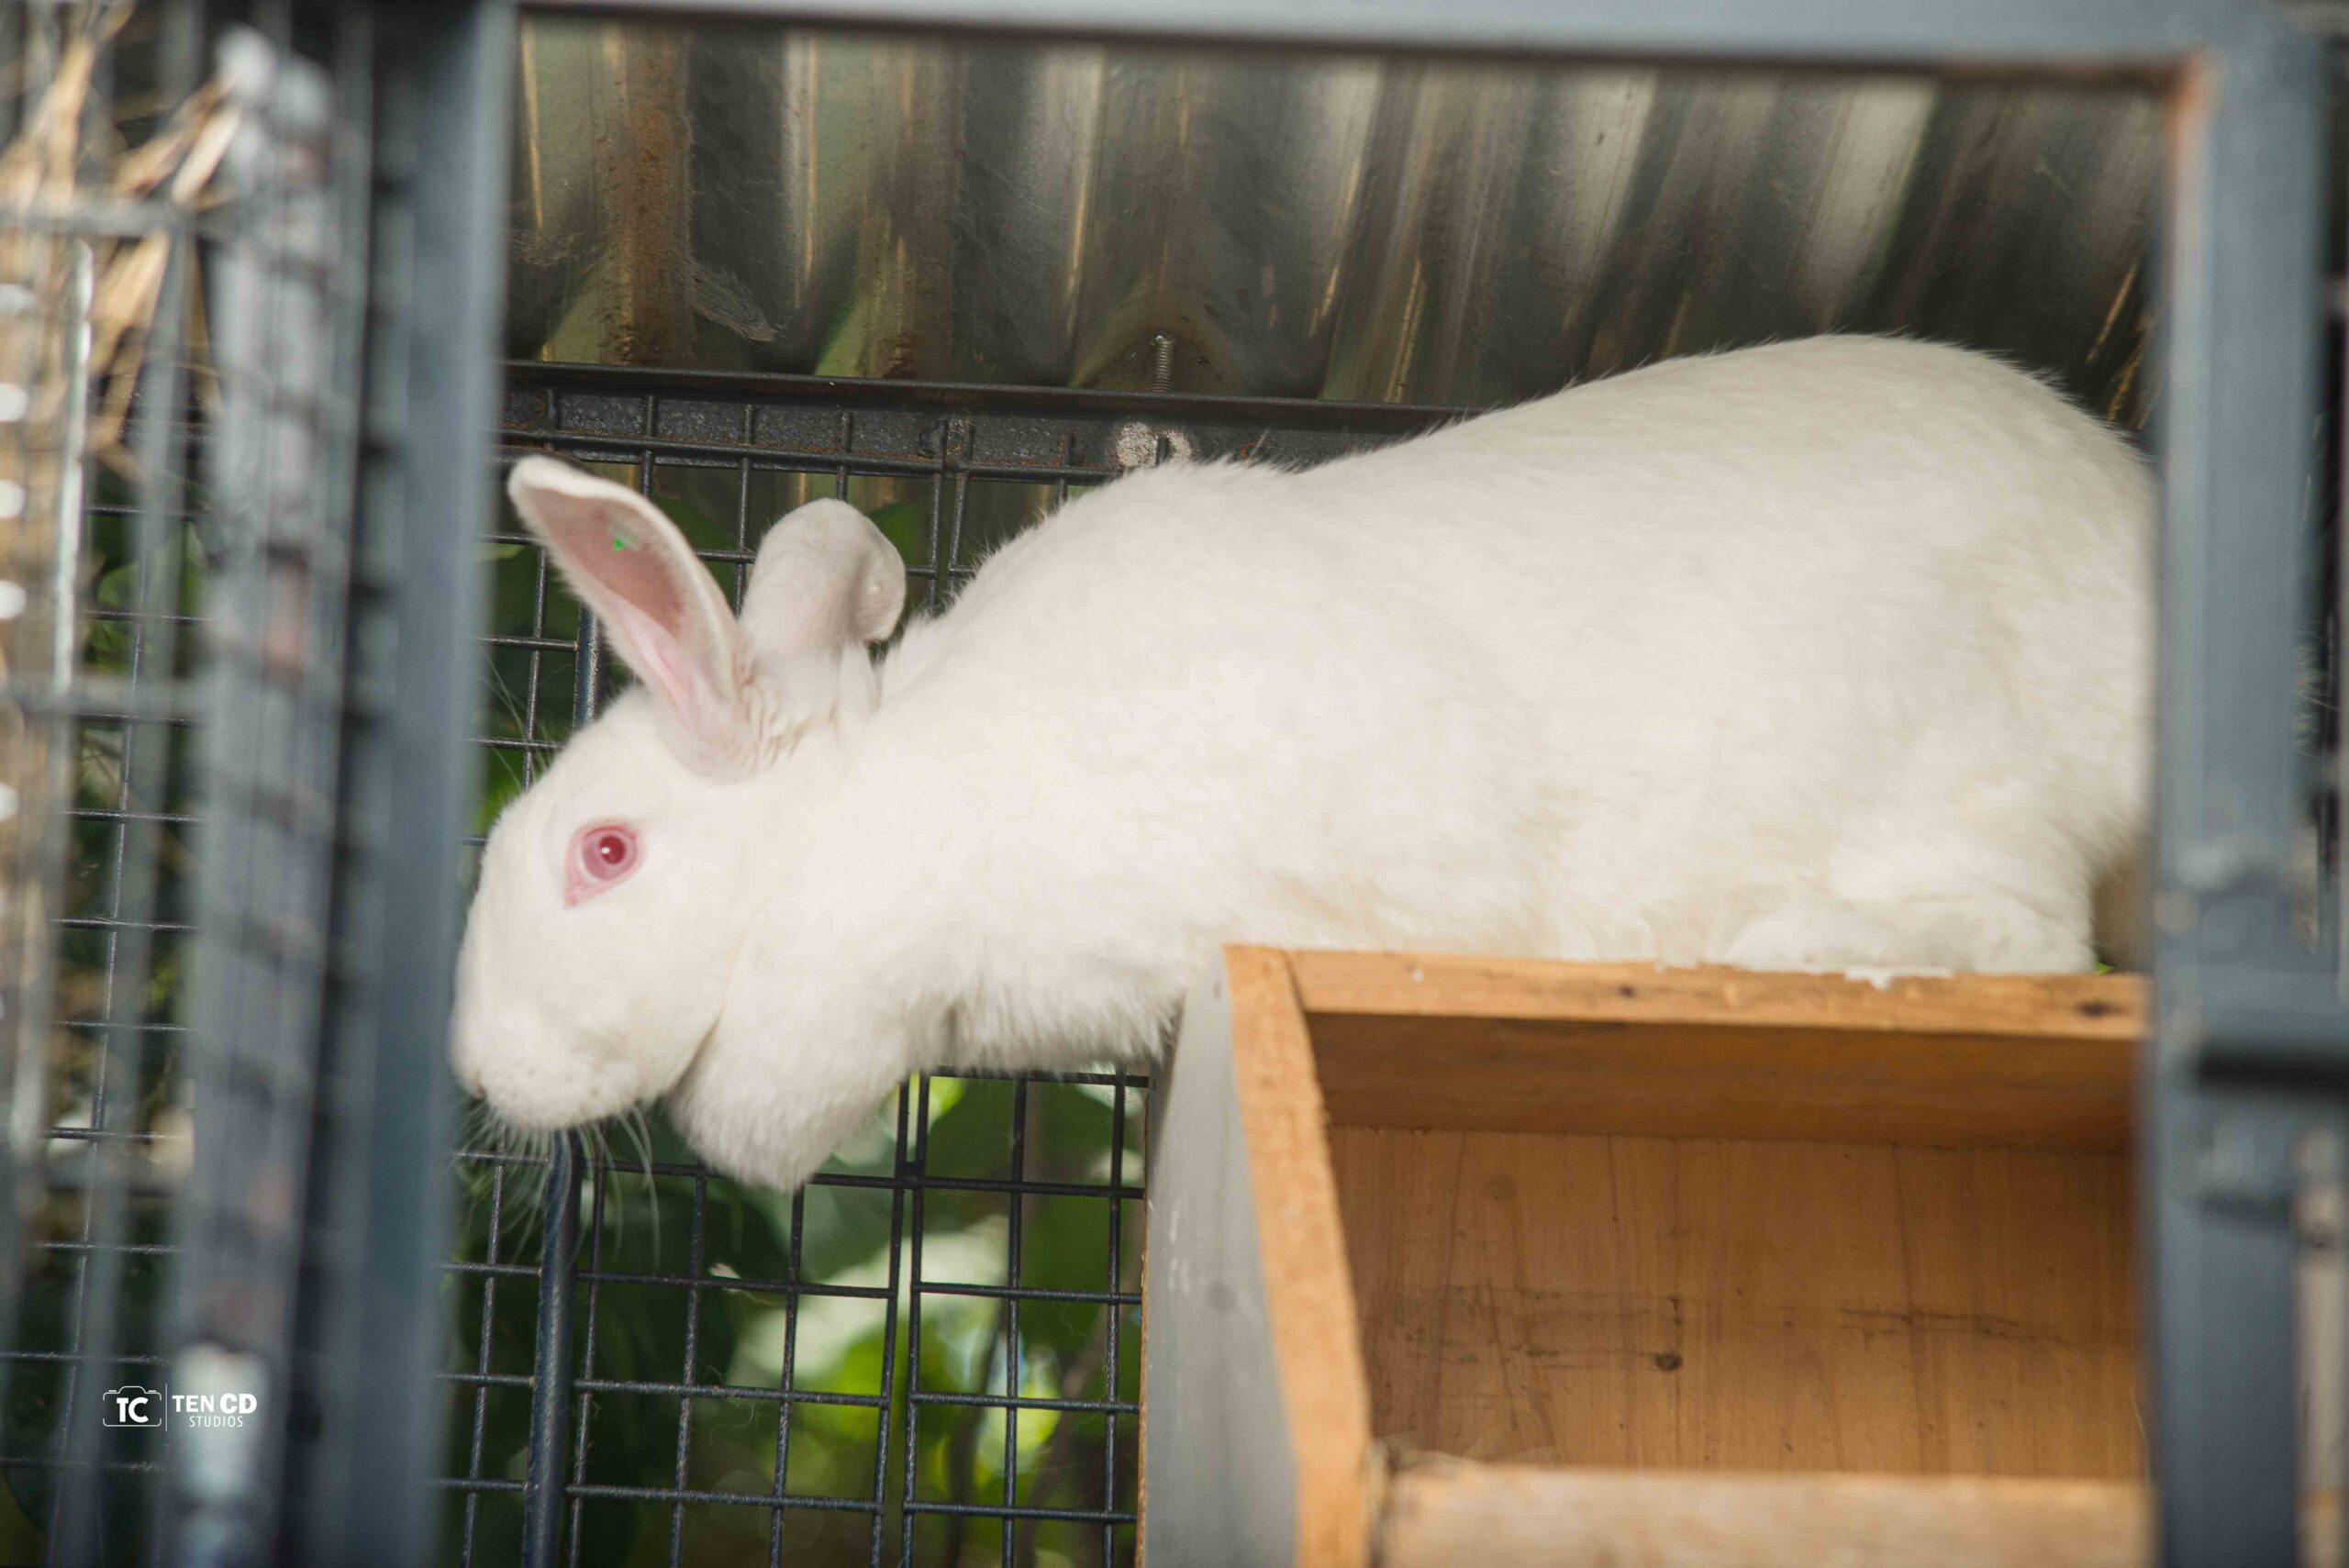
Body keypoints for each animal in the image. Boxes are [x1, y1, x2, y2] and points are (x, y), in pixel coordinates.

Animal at [450, 334, 2152, 1193]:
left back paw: (1788, 946)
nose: (477, 1071)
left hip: (1936, 762)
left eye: (605, 852)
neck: (887, 793)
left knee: (2028, 937)